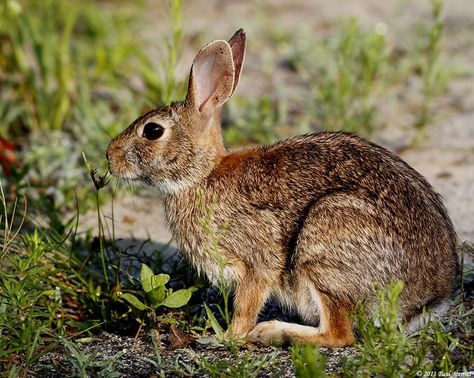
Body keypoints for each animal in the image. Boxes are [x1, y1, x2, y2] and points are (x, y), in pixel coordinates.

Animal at [106, 28, 460, 348]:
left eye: (152, 131)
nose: (110, 157)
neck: (201, 175)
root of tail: (426, 301)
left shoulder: (257, 262)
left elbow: (245, 307)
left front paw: (227, 336)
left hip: (324, 241)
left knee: (339, 334)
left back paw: (272, 332)